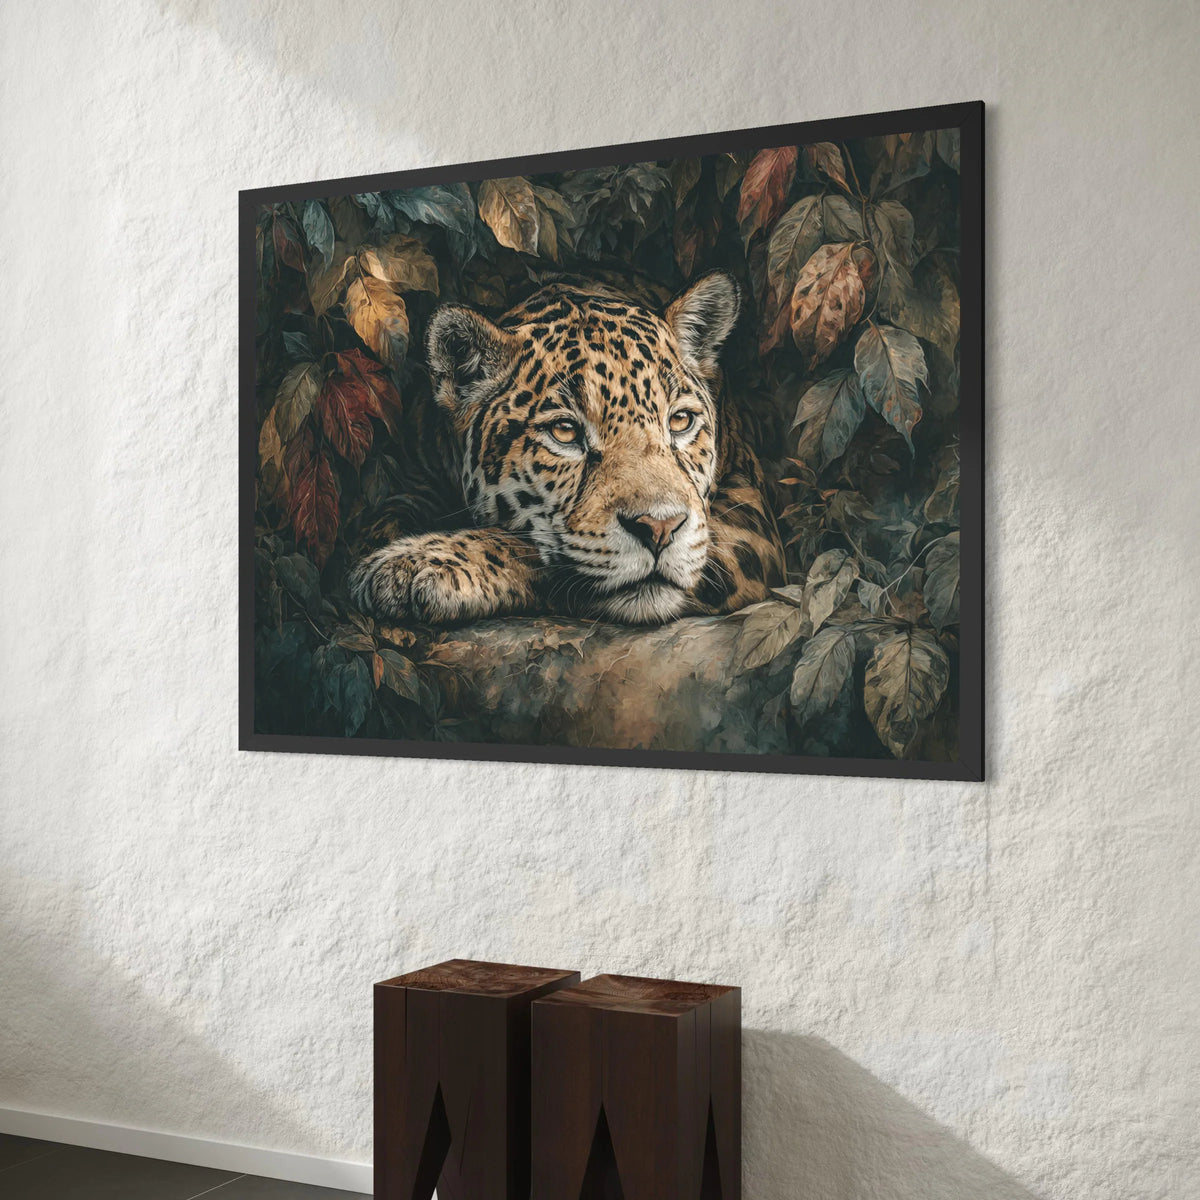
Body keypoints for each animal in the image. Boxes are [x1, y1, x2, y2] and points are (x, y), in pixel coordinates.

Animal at [347, 270, 785, 627]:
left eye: (679, 421)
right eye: (564, 431)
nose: (659, 528)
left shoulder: (747, 522)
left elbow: (533, 550)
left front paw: (414, 564)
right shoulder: (413, 479)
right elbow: (381, 518)